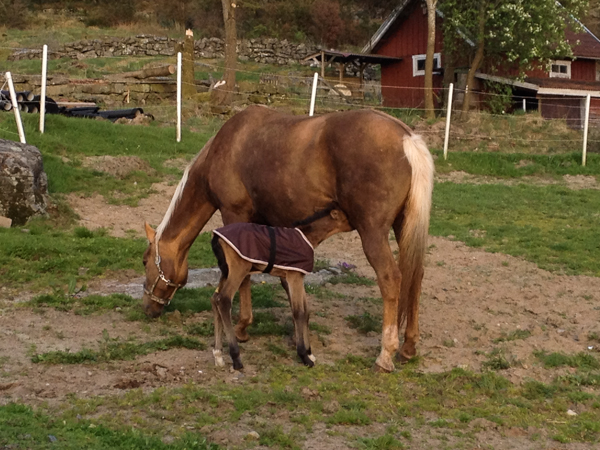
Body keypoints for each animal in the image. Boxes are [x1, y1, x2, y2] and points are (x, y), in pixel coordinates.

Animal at [210, 207, 352, 370]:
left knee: (215, 298)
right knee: (224, 300)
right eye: (346, 217)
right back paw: (236, 358)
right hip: (239, 269)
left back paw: (218, 355)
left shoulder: (298, 277)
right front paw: (304, 356)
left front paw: (309, 353)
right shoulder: (294, 276)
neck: (307, 237)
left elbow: (306, 311)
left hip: (226, 271)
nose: (354, 225)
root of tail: (216, 237)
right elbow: (298, 312)